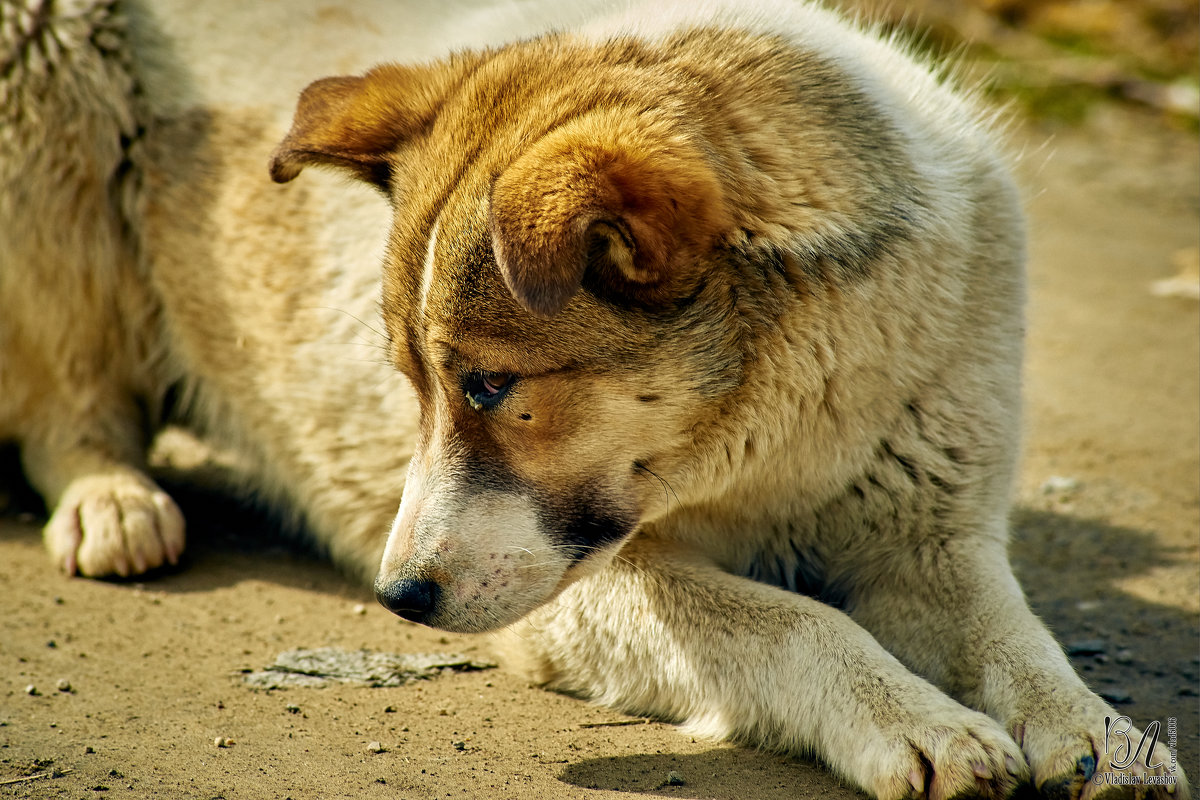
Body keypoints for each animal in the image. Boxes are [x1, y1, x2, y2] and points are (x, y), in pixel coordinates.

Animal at [0, 0, 1180, 796]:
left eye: (490, 386)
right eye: (413, 386)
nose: (397, 598)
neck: (786, 431)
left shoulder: (934, 539)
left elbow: (1017, 638)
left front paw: (1100, 732)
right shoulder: (580, 584)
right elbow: (796, 621)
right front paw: (919, 721)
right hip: (47, 102)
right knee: (67, 407)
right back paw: (113, 500)